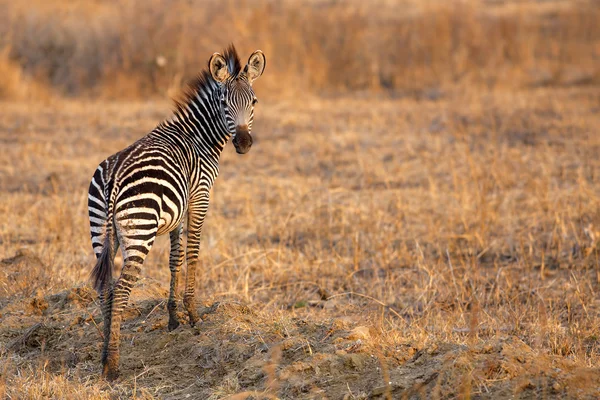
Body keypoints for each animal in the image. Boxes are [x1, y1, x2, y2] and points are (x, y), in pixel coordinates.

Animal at [88, 45, 266, 380]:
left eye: (253, 102)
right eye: (224, 102)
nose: (244, 143)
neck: (198, 137)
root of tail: (114, 177)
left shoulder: (175, 211)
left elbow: (174, 259)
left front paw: (173, 318)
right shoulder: (200, 197)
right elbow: (193, 252)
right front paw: (193, 315)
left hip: (100, 232)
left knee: (105, 289)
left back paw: (104, 353)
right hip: (140, 231)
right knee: (121, 289)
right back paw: (113, 365)